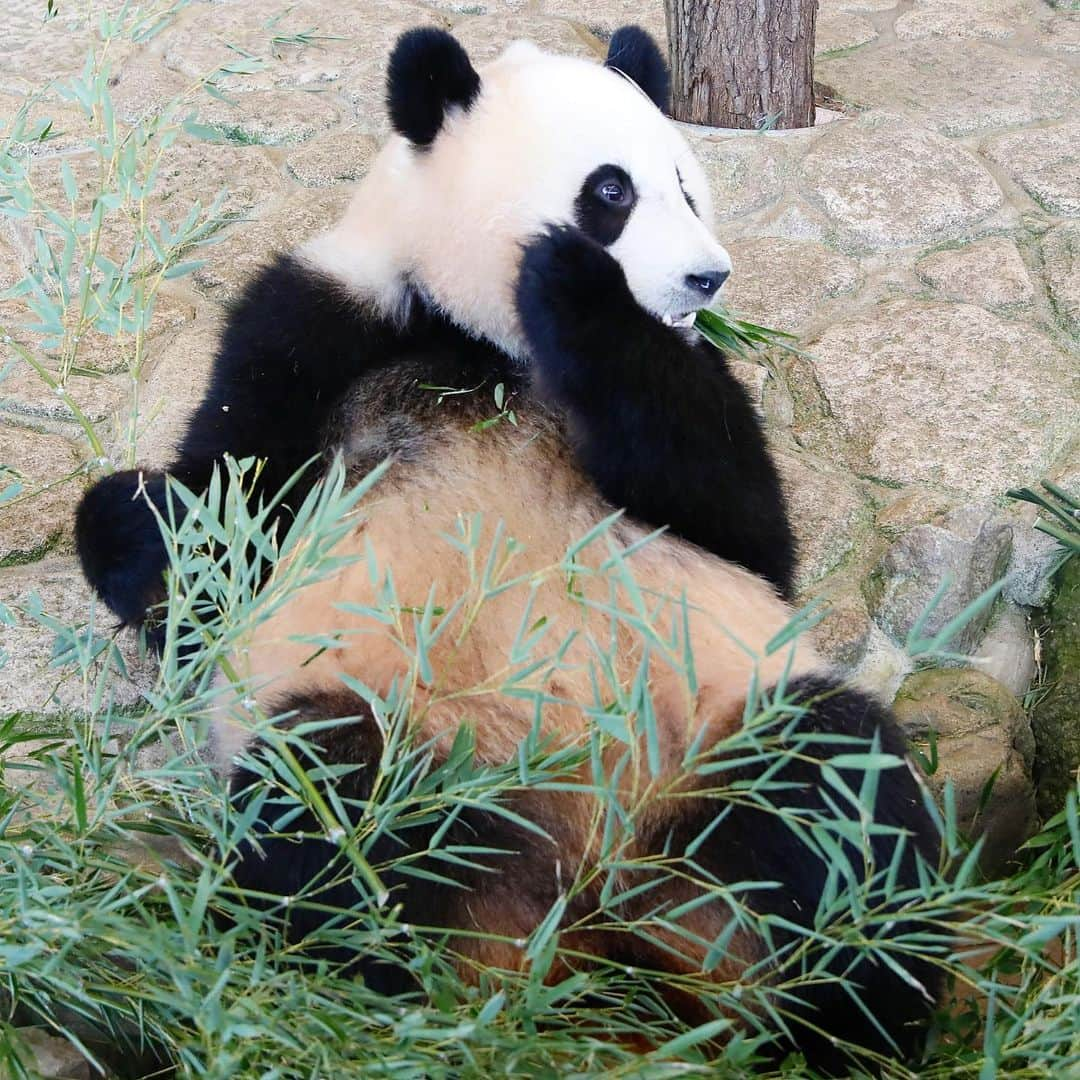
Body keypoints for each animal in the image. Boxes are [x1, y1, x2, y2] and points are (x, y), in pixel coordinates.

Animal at [76, 23, 941, 1071]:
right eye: (611, 192)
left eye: (686, 183)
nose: (709, 276)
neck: (486, 349)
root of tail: (585, 910)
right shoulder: (318, 323)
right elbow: (213, 536)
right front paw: (136, 518)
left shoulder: (685, 381)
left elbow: (745, 527)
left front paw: (577, 295)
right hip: (397, 728)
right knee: (326, 806)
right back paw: (403, 1008)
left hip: (720, 730)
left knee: (838, 797)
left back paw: (849, 1017)